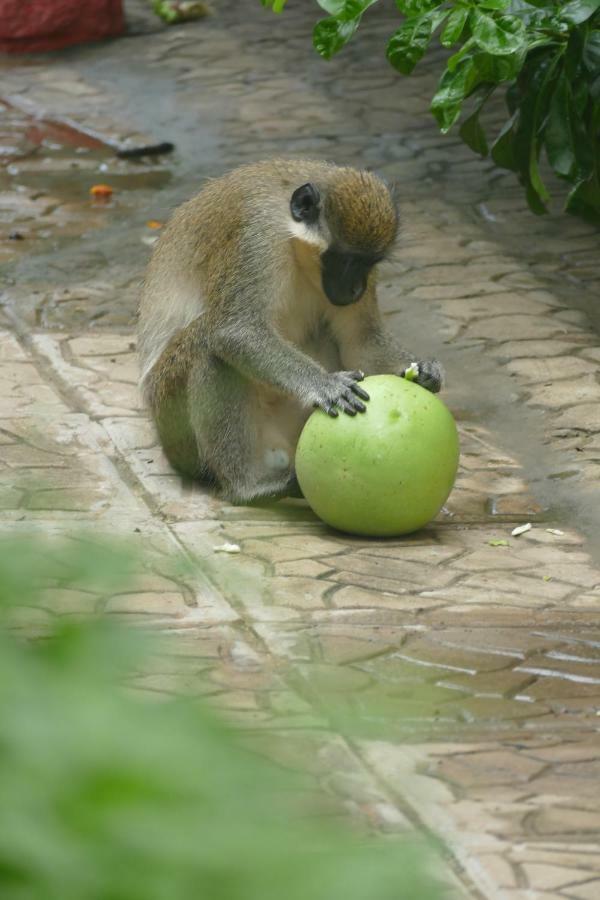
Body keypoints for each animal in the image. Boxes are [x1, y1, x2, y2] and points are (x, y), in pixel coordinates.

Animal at [138, 158, 442, 502]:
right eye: (345, 260)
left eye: (369, 263)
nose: (356, 289)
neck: (293, 243)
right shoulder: (256, 239)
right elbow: (235, 329)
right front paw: (325, 384)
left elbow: (359, 340)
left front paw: (422, 370)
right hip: (174, 425)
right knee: (210, 350)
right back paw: (250, 487)